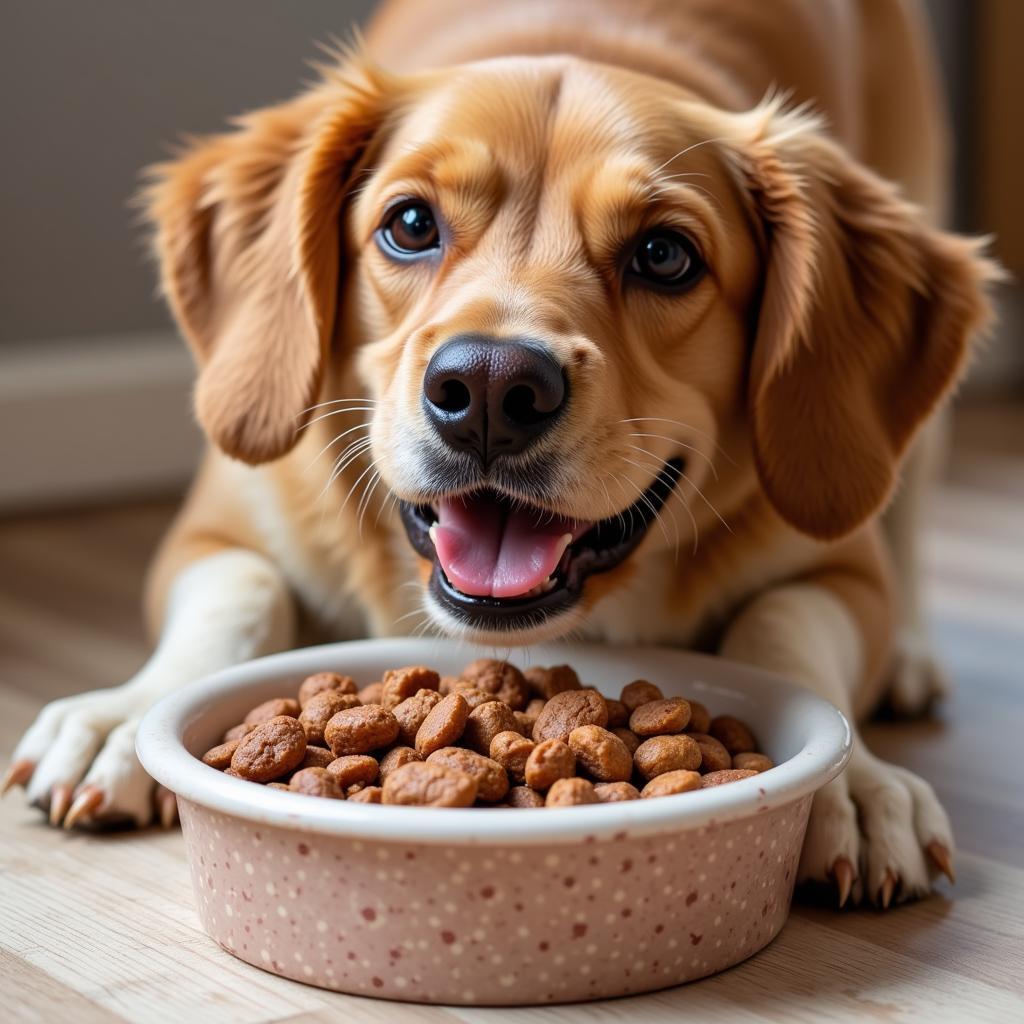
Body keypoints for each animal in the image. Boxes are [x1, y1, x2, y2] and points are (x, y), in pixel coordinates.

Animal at [4, 0, 995, 905]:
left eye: (665, 254)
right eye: (410, 224)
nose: (488, 388)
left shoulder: (841, 571)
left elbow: (782, 627)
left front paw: (853, 783)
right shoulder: (217, 530)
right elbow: (239, 598)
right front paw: (126, 714)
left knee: (909, 511)